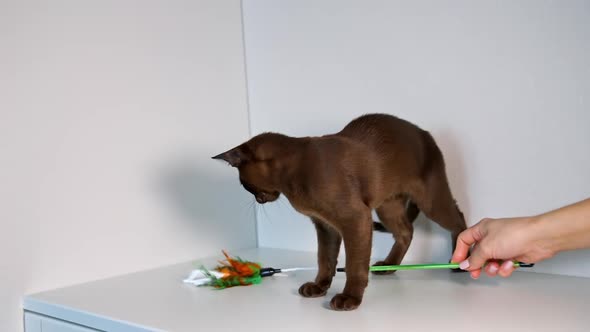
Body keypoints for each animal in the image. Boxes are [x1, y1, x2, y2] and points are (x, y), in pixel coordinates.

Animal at [213, 113, 468, 310]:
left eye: (245, 185)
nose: (257, 200)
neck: (291, 178)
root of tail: (425, 133)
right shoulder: (325, 225)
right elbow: (325, 259)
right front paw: (318, 287)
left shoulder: (354, 219)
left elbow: (354, 265)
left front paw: (349, 299)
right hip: (387, 206)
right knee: (406, 231)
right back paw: (388, 266)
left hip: (431, 202)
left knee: (458, 218)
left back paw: (458, 263)